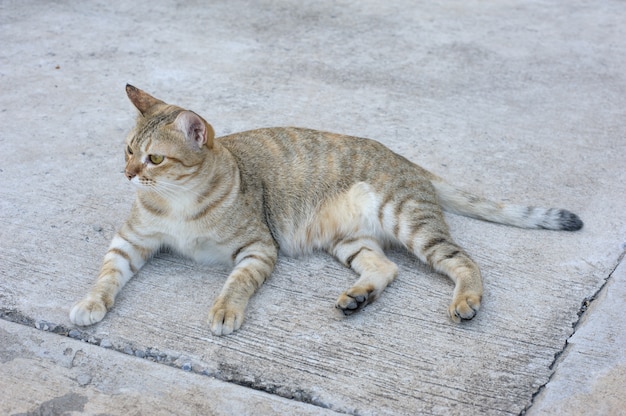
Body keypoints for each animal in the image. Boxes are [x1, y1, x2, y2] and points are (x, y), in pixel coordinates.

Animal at [70, 84, 584, 334]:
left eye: (154, 159)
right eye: (127, 150)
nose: (128, 174)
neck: (178, 201)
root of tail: (404, 158)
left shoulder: (257, 249)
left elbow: (235, 284)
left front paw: (225, 310)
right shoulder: (128, 241)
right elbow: (106, 275)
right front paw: (91, 302)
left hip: (409, 220)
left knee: (464, 261)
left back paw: (466, 301)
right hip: (347, 240)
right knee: (385, 267)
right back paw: (359, 296)